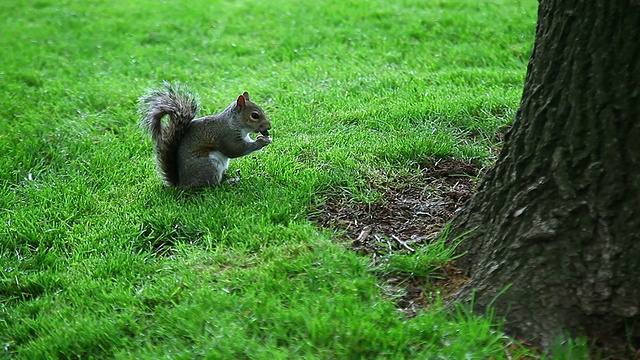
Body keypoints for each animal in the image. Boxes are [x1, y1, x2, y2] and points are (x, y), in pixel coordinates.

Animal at [139, 82, 272, 187]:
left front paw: (263, 138)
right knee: (213, 186)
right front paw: (262, 141)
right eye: (254, 115)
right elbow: (235, 150)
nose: (269, 126)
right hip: (209, 166)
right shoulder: (226, 136)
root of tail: (182, 183)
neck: (234, 123)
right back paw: (229, 181)